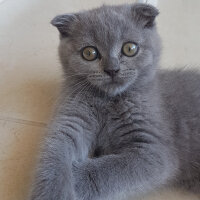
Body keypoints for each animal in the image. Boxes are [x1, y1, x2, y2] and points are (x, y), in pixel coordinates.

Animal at [29, 3, 200, 200]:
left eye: (130, 48)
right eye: (89, 53)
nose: (112, 69)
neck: (109, 101)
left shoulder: (154, 150)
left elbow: (110, 170)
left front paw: (77, 177)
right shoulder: (71, 118)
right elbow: (53, 153)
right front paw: (53, 192)